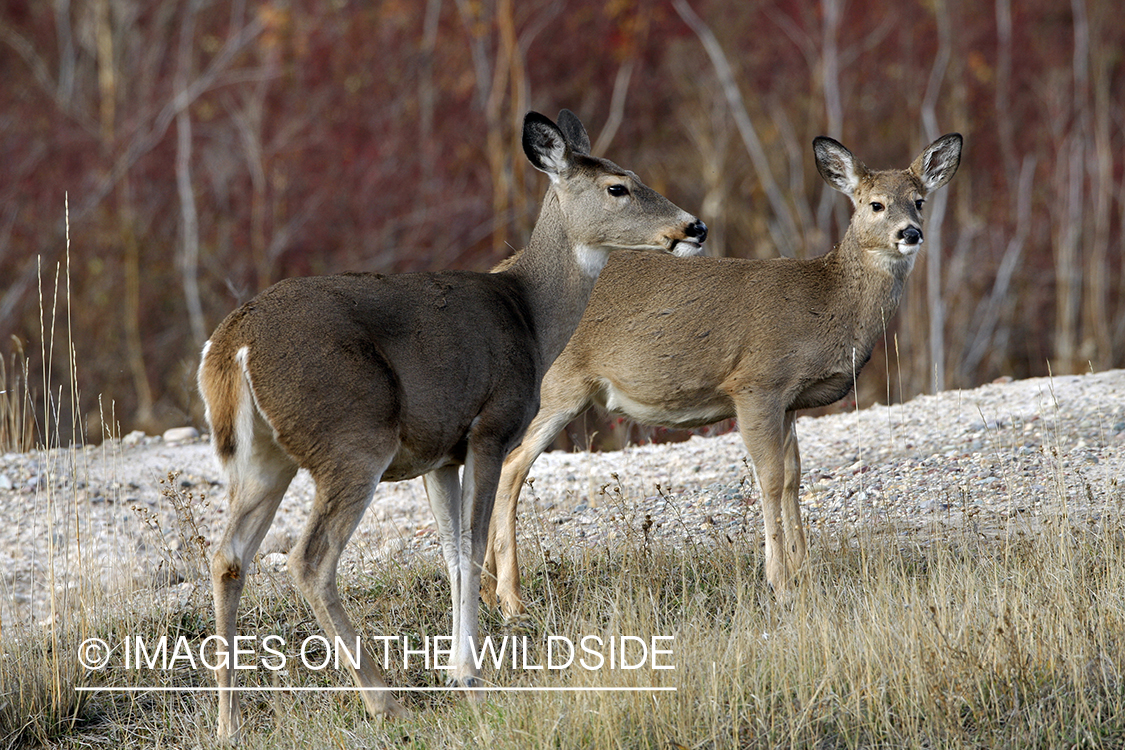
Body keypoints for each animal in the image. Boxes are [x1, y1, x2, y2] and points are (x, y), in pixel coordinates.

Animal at [194, 110, 702, 737]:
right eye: (618, 187)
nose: (695, 227)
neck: (531, 315)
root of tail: (232, 345)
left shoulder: (437, 454)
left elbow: (453, 551)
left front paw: (458, 668)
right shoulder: (490, 427)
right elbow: (474, 543)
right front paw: (469, 675)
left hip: (262, 458)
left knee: (228, 557)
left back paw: (228, 721)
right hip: (353, 439)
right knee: (308, 560)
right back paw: (384, 702)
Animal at [479, 132, 963, 620]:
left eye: (919, 201)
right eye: (875, 204)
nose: (910, 232)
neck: (829, 302)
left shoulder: (789, 401)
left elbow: (794, 476)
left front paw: (804, 571)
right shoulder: (755, 382)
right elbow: (769, 478)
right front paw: (780, 582)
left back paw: (486, 589)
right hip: (558, 389)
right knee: (512, 468)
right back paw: (510, 597)